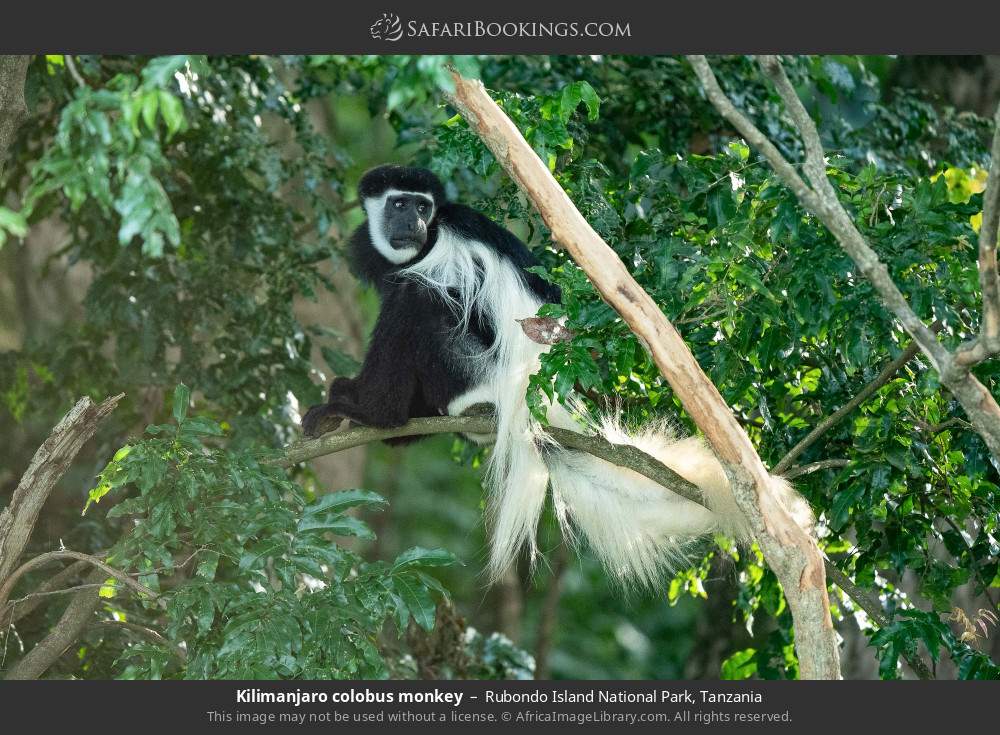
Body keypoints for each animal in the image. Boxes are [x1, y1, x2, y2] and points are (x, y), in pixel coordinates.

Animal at [302, 164, 813, 588]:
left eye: (422, 206)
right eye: (399, 204)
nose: (412, 223)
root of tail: (539, 403)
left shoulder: (443, 252)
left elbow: (415, 297)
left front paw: (357, 403)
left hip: (475, 367)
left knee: (418, 298)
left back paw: (380, 414)